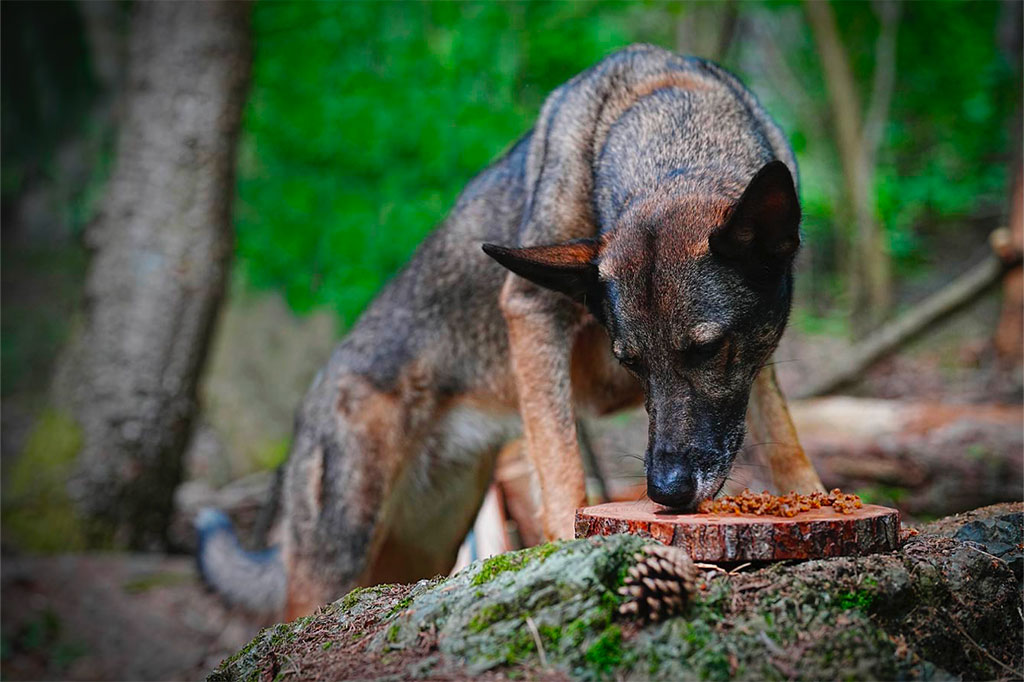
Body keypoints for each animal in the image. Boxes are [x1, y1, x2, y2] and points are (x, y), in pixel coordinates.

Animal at [197, 42, 823, 614]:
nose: (665, 492)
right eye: (631, 362)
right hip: (340, 551)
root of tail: (309, 406)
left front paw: (814, 501)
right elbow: (563, 466)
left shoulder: (754, 366)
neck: (673, 124)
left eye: (710, 349)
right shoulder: (530, 311)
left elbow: (784, 437)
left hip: (419, 545)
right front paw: (571, 548)